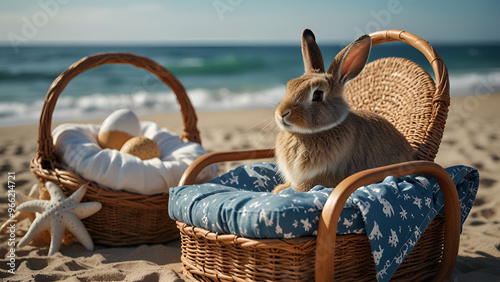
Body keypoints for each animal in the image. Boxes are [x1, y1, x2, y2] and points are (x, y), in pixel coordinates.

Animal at [274, 29, 414, 194]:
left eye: (317, 95)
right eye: (289, 86)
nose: (282, 114)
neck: (306, 134)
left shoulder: (328, 177)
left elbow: (306, 185)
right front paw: (279, 189)